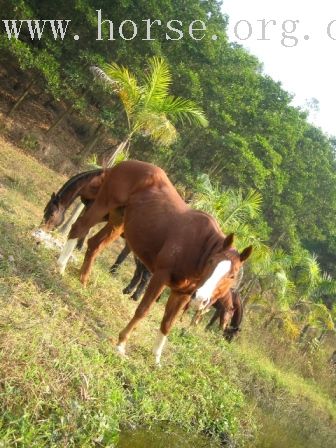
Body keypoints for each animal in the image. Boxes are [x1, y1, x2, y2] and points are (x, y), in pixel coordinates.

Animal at [57, 160, 252, 364]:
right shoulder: (159, 277)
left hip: (118, 221)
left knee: (94, 244)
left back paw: (83, 280)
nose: (200, 298)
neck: (198, 248)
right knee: (78, 228)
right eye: (211, 262)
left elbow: (168, 323)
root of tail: (119, 165)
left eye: (232, 275)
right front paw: (121, 344)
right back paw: (60, 267)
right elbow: (143, 309)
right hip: (103, 205)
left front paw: (156, 358)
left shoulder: (182, 293)